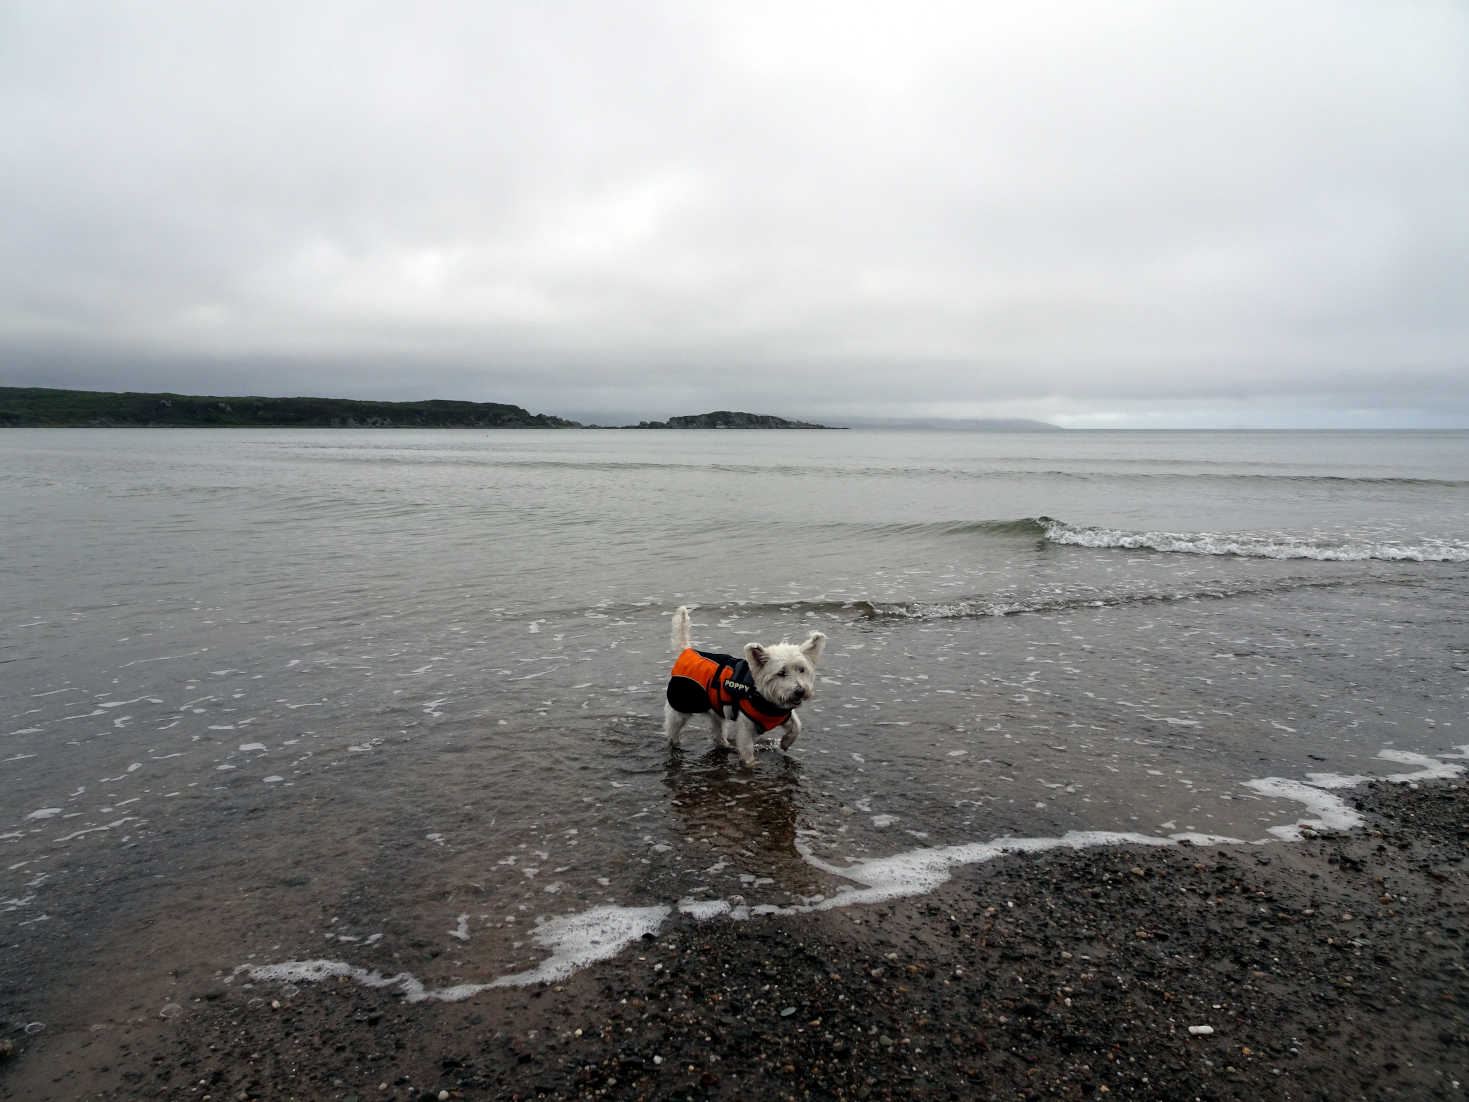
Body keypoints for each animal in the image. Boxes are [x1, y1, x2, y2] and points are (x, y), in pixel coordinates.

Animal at [666, 605, 828, 769]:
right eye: (781, 673)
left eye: (802, 670)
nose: (801, 691)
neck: (764, 698)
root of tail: (686, 651)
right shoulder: (746, 726)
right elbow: (747, 749)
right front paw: (751, 765)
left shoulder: (783, 714)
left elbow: (797, 726)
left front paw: (785, 743)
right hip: (680, 705)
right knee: (673, 729)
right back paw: (675, 745)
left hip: (716, 711)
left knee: (718, 734)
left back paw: (725, 746)